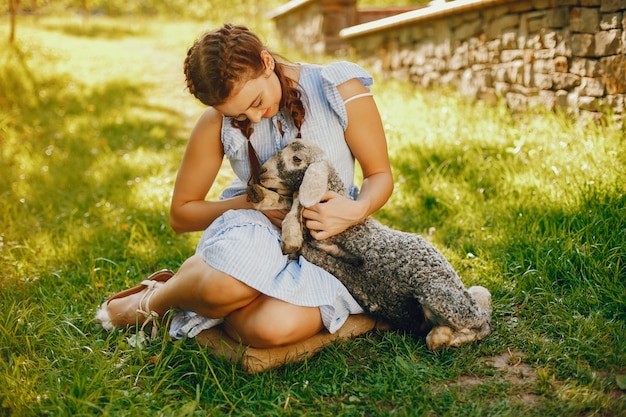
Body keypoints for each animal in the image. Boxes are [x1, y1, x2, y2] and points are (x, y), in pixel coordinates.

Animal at [246, 140, 490, 348]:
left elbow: (297, 207)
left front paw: (290, 237)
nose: (262, 172)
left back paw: (441, 338)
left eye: (296, 158)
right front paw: (262, 197)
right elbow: (290, 205)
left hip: (438, 293)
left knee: (481, 325)